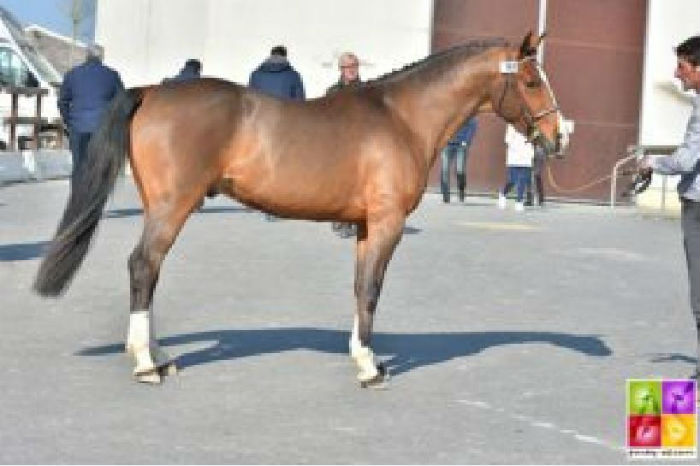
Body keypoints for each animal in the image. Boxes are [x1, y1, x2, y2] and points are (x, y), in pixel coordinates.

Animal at [34, 30, 568, 386]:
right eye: (530, 80)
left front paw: (361, 355)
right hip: (173, 207)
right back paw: (147, 363)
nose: (559, 137)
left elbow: (360, 287)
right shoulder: (388, 222)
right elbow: (372, 288)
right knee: (144, 265)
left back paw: (159, 353)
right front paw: (370, 368)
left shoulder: (364, 226)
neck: (401, 117)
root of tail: (151, 92)